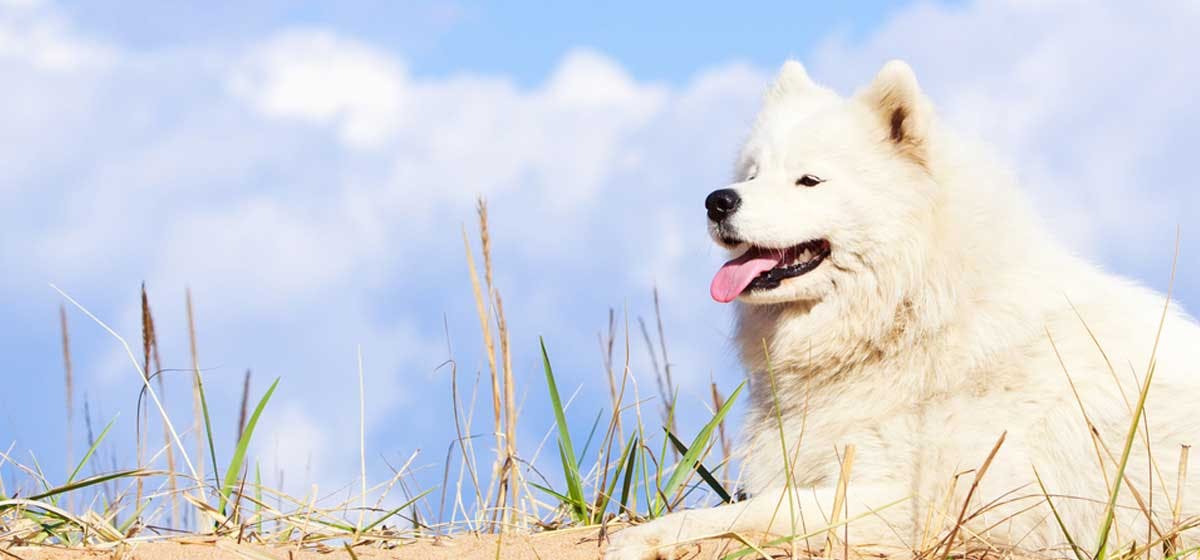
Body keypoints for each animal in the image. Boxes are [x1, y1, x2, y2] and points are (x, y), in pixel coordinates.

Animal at [609, 59, 1200, 558]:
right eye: (752, 173)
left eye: (809, 180)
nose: (717, 201)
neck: (922, 313)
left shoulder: (923, 502)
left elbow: (760, 511)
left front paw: (643, 538)